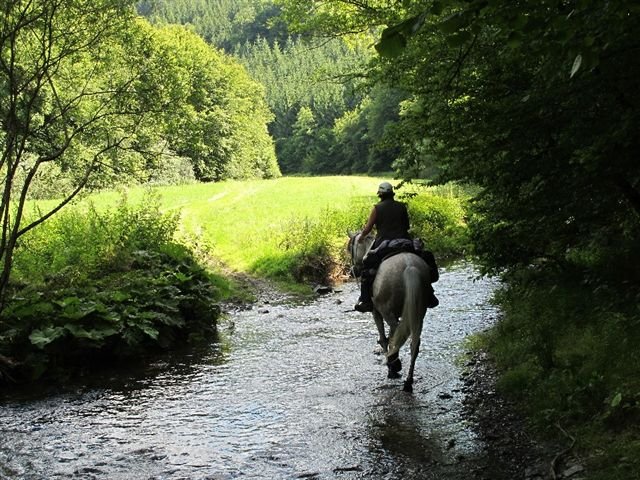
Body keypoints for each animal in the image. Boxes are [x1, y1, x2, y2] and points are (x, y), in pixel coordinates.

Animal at [348, 231, 432, 393]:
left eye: (350, 248)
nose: (353, 270)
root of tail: (410, 268)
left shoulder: (376, 312)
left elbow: (383, 338)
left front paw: (391, 367)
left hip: (387, 310)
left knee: (396, 333)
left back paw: (394, 365)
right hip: (420, 311)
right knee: (414, 343)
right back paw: (408, 381)